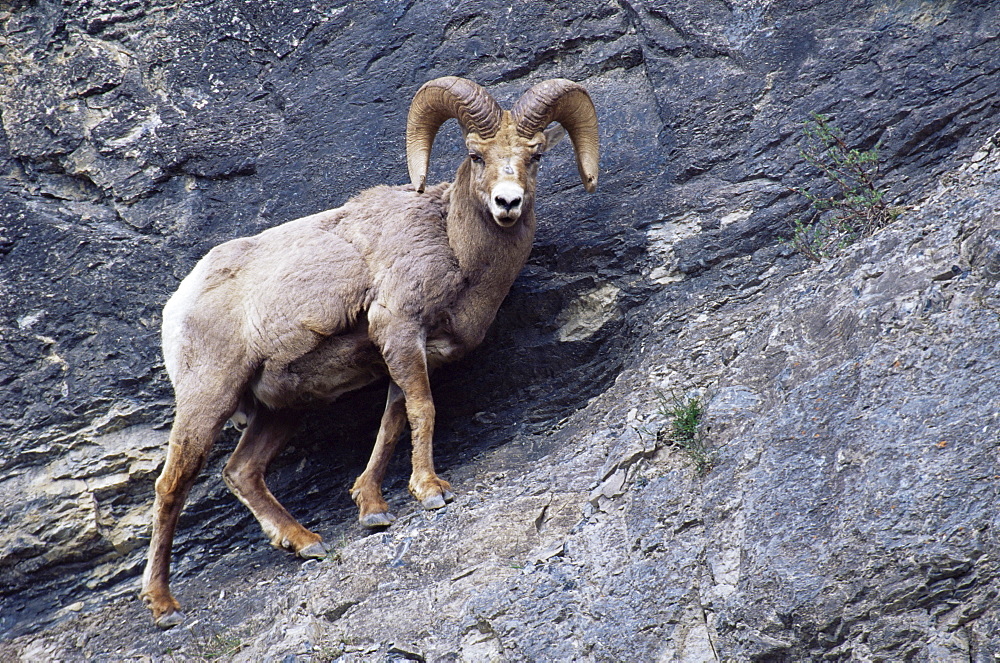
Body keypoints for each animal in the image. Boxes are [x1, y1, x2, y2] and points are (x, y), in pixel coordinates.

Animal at [137, 76, 596, 628]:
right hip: (208, 399)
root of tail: (179, 303)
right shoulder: (398, 329)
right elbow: (422, 410)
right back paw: (163, 605)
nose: (508, 203)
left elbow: (393, 421)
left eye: (536, 156)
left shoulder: (413, 353)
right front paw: (430, 491)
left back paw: (306, 543)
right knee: (171, 485)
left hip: (281, 410)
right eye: (476, 155)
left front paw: (373, 510)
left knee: (241, 472)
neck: (455, 248)